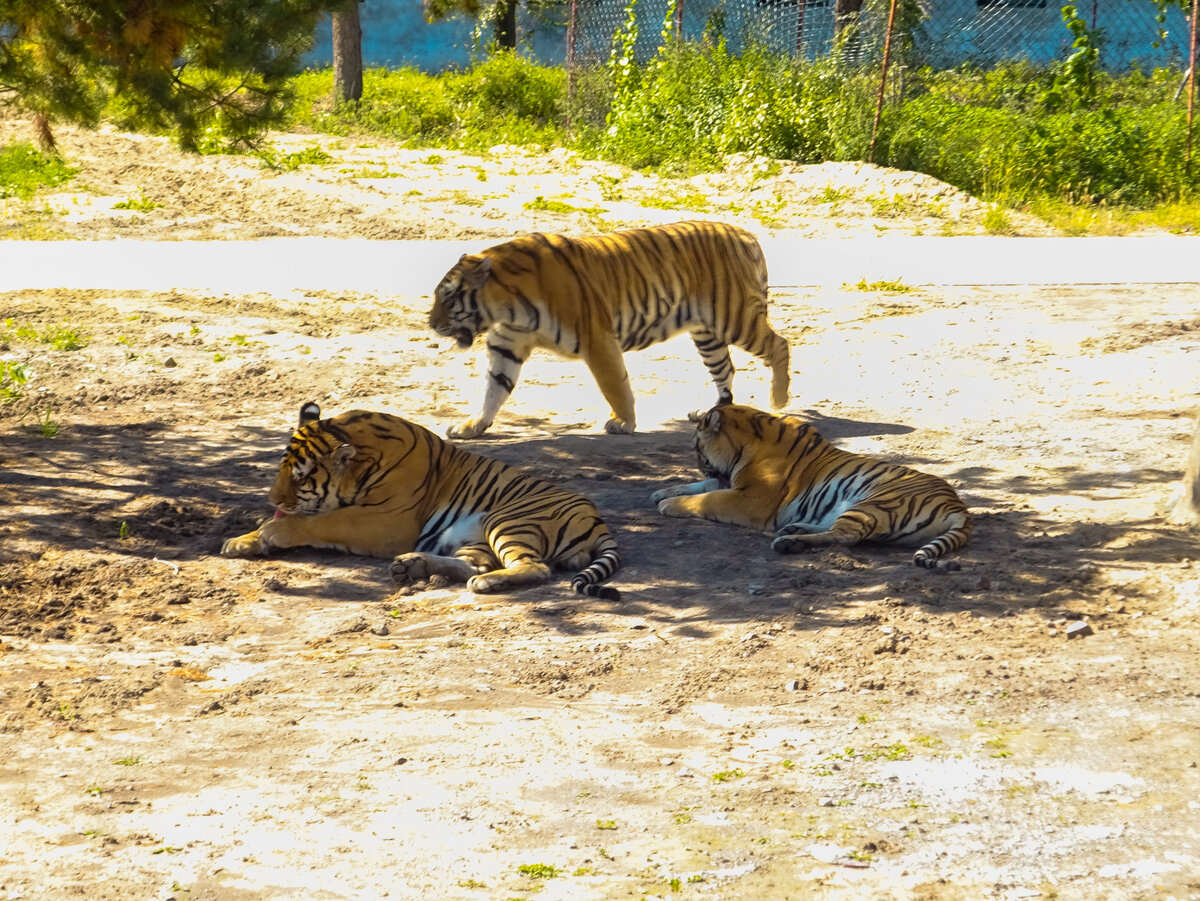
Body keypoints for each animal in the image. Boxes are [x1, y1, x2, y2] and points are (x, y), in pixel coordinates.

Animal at [221, 403, 621, 599]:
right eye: (282, 468)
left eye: (302, 476)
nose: (272, 497)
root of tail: (597, 519)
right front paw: (240, 542)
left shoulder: (387, 521)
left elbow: (321, 521)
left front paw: (272, 532)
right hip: (476, 537)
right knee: (474, 564)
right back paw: (412, 566)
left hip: (508, 520)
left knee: (533, 567)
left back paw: (485, 585)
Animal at [429, 219, 791, 439]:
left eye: (448, 296)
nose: (431, 323)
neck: (505, 307)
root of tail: (746, 235)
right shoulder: (506, 346)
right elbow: (493, 390)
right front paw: (472, 425)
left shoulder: (597, 339)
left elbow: (614, 385)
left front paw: (623, 422)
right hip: (707, 333)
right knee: (725, 368)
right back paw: (712, 410)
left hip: (735, 318)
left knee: (779, 345)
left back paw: (778, 400)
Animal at [650, 404, 972, 569]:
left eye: (696, 448)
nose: (698, 463)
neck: (745, 444)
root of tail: (959, 507)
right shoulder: (730, 481)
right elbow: (703, 486)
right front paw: (660, 492)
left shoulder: (750, 500)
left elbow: (709, 497)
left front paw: (667, 504)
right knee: (846, 533)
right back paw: (794, 529)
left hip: (874, 502)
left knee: (846, 537)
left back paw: (789, 542)